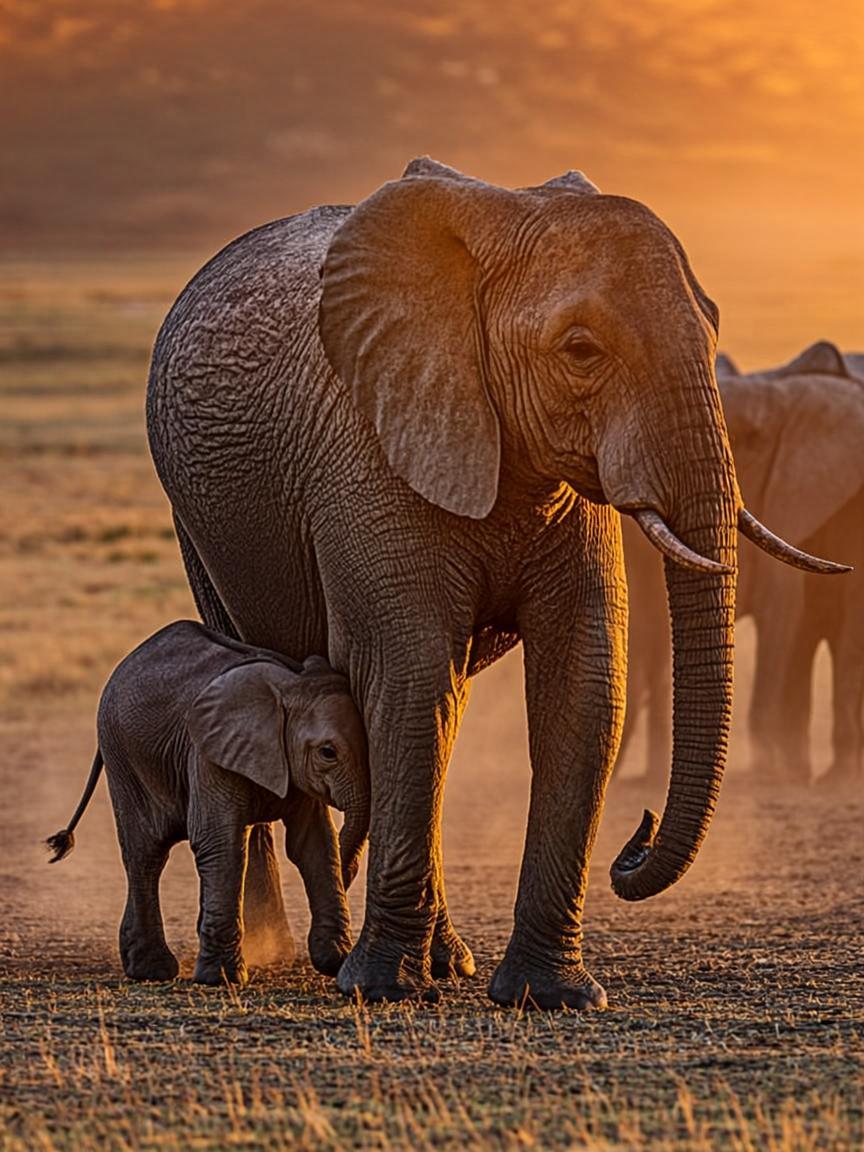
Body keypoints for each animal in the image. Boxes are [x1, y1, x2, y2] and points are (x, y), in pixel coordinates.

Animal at [46, 621, 369, 986]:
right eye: (328, 752)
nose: (351, 873)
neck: (291, 683)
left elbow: (314, 844)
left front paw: (335, 960)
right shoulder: (207, 754)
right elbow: (220, 843)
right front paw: (222, 978)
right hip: (124, 757)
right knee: (145, 854)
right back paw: (152, 970)